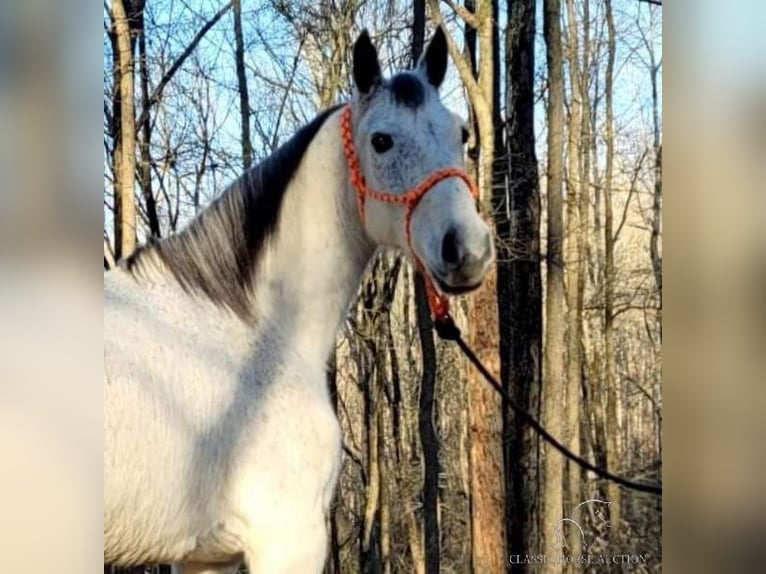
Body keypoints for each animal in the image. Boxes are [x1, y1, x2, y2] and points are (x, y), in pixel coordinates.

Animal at [105, 28, 496, 574]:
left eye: (460, 133)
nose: (468, 249)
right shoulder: (290, 538)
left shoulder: (206, 556)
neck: (255, 336)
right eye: (381, 141)